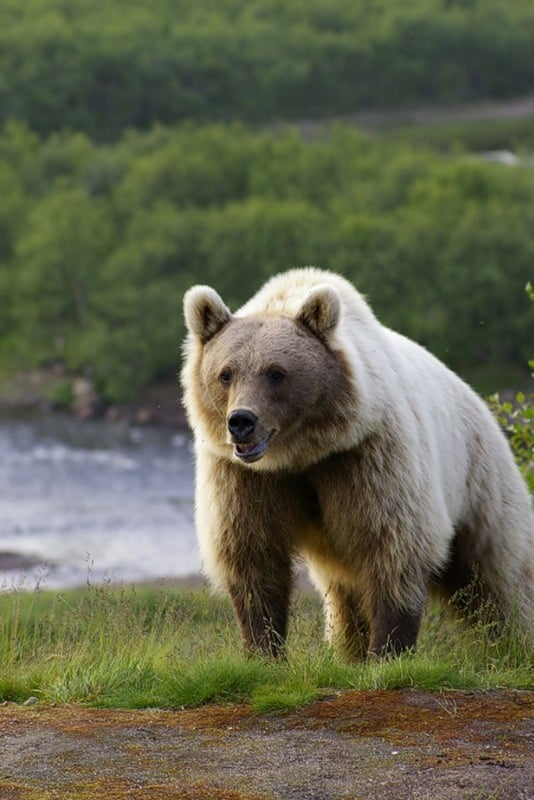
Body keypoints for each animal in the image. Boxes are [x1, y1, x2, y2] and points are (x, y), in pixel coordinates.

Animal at [181, 268, 534, 656]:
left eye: (276, 372)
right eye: (226, 373)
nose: (242, 421)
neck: (301, 455)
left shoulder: (368, 456)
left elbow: (392, 546)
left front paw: (387, 651)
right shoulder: (244, 477)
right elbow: (253, 554)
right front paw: (264, 649)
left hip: (480, 482)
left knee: (500, 578)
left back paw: (515, 642)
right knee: (345, 595)